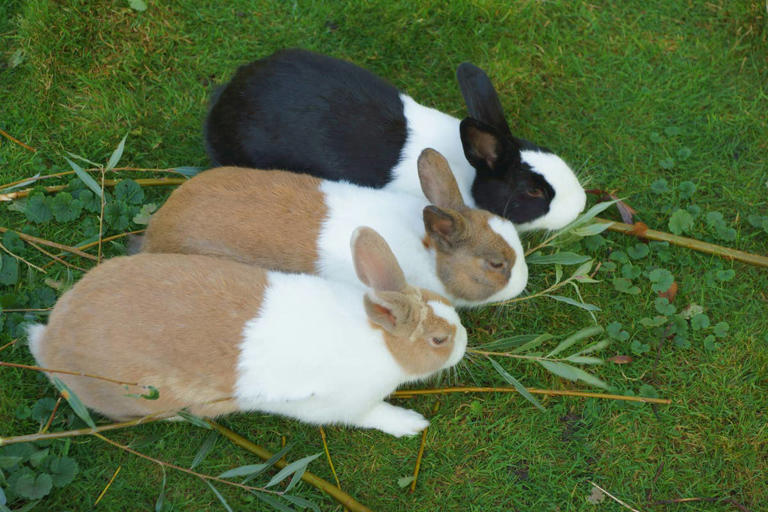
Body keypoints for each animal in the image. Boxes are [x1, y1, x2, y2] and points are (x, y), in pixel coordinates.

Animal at [27, 227, 467, 437]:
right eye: (439, 340)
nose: (464, 341)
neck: (380, 340)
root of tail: (50, 339)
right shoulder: (345, 405)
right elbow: (374, 415)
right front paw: (412, 424)